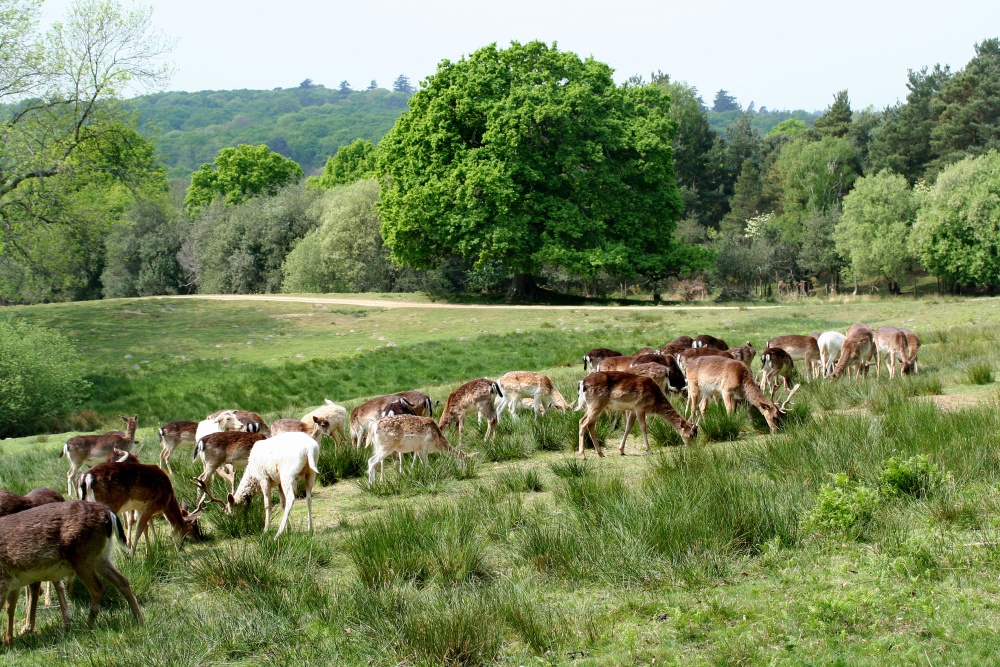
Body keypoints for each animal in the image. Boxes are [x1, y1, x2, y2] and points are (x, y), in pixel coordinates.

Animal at [0, 500, 143, 640]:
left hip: (82, 557)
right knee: (122, 581)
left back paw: (87, 626)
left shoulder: (4, 580)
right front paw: (9, 639)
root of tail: (108, 513)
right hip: (100, 557)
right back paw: (139, 619)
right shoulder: (13, 582)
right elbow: (10, 608)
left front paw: (8, 641)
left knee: (98, 588)